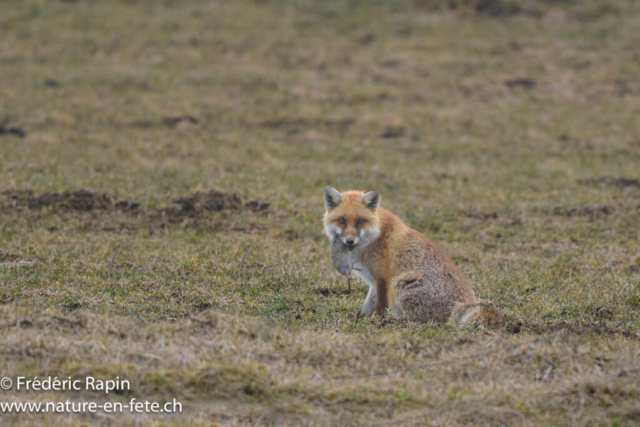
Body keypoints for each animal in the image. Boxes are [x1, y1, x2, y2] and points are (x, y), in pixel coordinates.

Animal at [323, 187, 503, 328]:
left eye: (360, 221)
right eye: (342, 221)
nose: (349, 240)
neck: (376, 235)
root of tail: (463, 303)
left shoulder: (382, 278)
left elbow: (380, 307)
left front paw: (377, 321)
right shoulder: (374, 282)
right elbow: (365, 309)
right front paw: (357, 321)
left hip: (401, 283)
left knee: (423, 322)